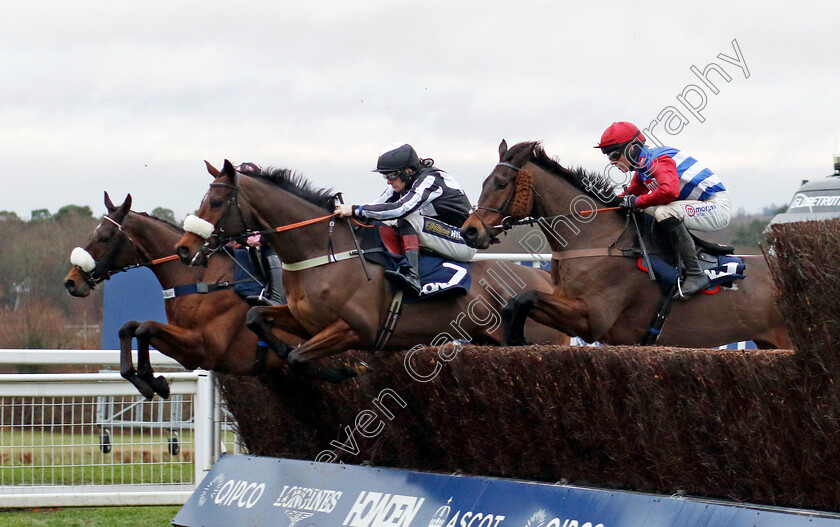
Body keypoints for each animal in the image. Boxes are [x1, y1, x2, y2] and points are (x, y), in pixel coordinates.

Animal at [66, 192, 302, 398]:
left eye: (103, 237)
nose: (70, 282)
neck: (199, 278)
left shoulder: (206, 349)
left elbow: (145, 328)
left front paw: (151, 379)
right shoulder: (188, 351)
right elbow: (130, 327)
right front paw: (146, 380)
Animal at [173, 161, 568, 384]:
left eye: (217, 202)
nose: (184, 249)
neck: (322, 252)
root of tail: (545, 281)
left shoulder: (354, 329)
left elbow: (300, 357)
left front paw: (349, 372)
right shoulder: (305, 321)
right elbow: (256, 317)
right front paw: (281, 351)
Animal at [460, 139, 796, 350]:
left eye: (501, 183)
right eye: (484, 182)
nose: (469, 231)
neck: (594, 239)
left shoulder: (592, 317)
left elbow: (525, 297)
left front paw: (515, 337)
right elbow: (517, 301)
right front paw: (513, 337)